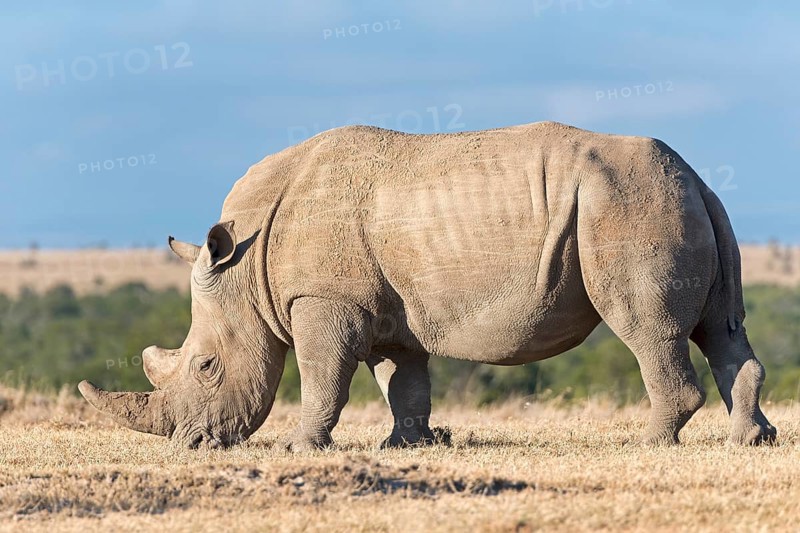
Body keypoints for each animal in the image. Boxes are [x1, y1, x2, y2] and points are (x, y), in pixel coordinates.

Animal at [79, 121, 777, 449]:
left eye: (207, 368)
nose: (192, 444)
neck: (247, 269)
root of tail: (694, 174)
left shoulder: (324, 301)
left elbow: (323, 377)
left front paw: (302, 448)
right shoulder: (387, 309)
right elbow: (402, 381)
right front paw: (404, 444)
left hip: (628, 204)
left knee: (646, 329)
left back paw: (650, 441)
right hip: (677, 200)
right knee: (721, 329)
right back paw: (752, 439)